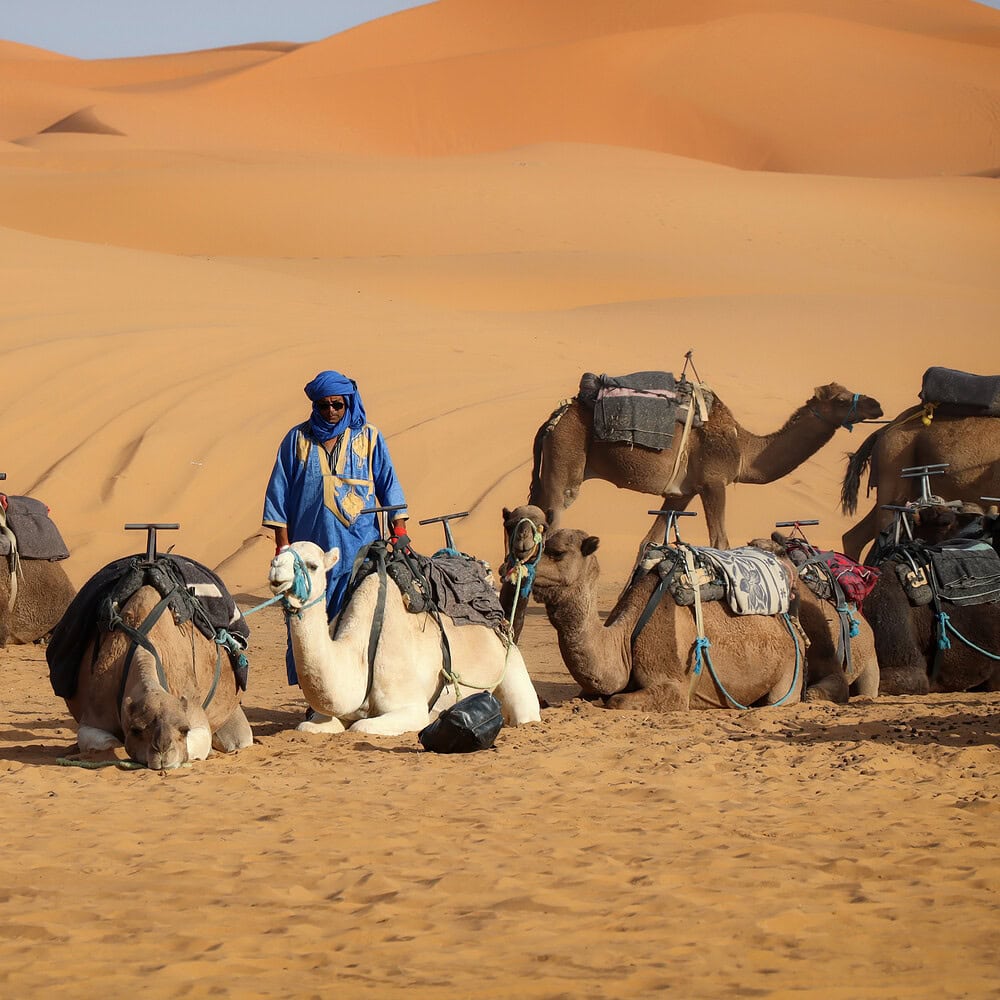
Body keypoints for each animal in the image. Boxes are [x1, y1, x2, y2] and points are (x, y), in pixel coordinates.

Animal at [66, 585, 253, 770]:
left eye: (184, 730)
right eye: (136, 730)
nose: (162, 748)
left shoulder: (194, 710)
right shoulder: (95, 713)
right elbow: (109, 744)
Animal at [269, 541, 541, 736]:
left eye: (312, 565)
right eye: (279, 554)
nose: (275, 569)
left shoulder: (409, 706)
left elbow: (360, 727)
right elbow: (308, 726)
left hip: (511, 660)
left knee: (525, 712)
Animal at [529, 528, 805, 712]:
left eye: (557, 553)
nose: (523, 564)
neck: (623, 638)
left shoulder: (674, 687)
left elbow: (617, 700)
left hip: (791, 673)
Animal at [530, 382, 882, 551]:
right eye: (840, 400)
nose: (877, 404)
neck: (744, 449)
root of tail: (552, 420)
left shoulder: (680, 493)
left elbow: (648, 542)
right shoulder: (714, 482)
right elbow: (720, 541)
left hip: (547, 472)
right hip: (566, 463)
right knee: (552, 525)